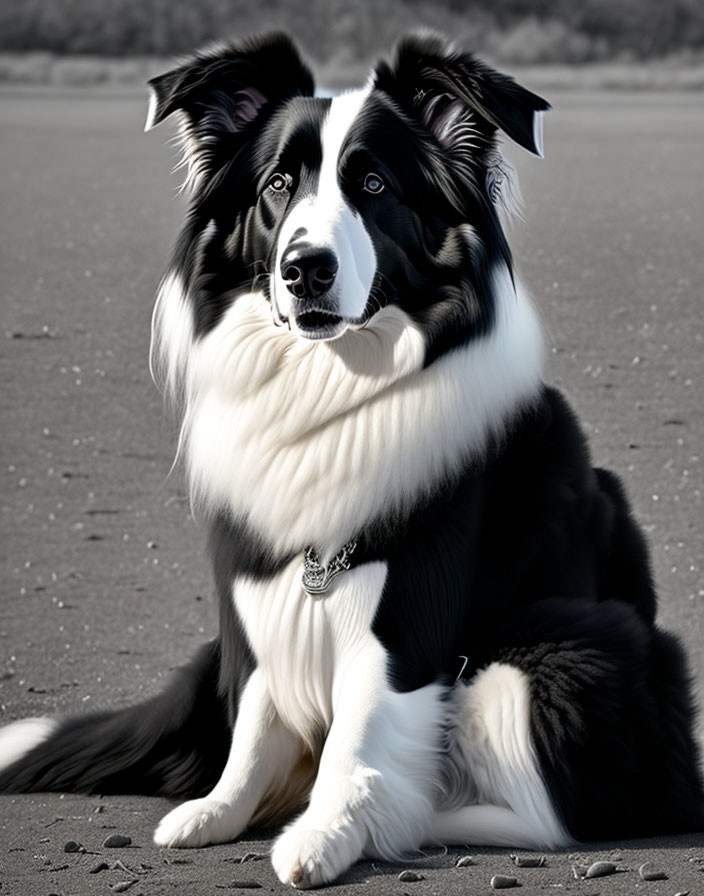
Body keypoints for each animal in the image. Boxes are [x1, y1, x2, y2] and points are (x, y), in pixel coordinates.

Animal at [1, 29, 704, 888]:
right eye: (277, 184)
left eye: (373, 183)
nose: (306, 268)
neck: (331, 384)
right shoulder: (263, 590)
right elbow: (259, 716)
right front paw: (220, 811)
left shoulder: (405, 614)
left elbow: (361, 731)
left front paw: (326, 834)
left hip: (567, 649)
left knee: (543, 812)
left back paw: (416, 820)